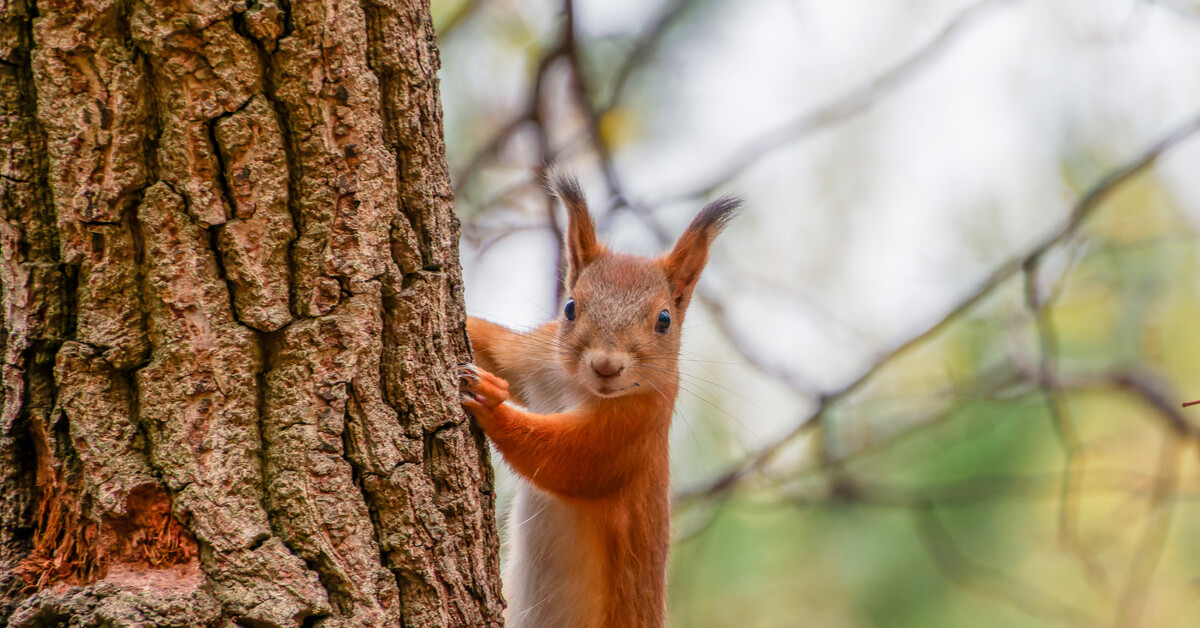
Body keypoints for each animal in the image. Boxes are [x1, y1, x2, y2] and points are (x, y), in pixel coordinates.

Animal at [460, 171, 734, 628]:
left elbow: (573, 459)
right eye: (570, 307)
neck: (576, 387)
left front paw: (491, 403)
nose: (606, 366)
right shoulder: (535, 357)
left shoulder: (634, 430)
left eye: (664, 320)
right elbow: (494, 348)